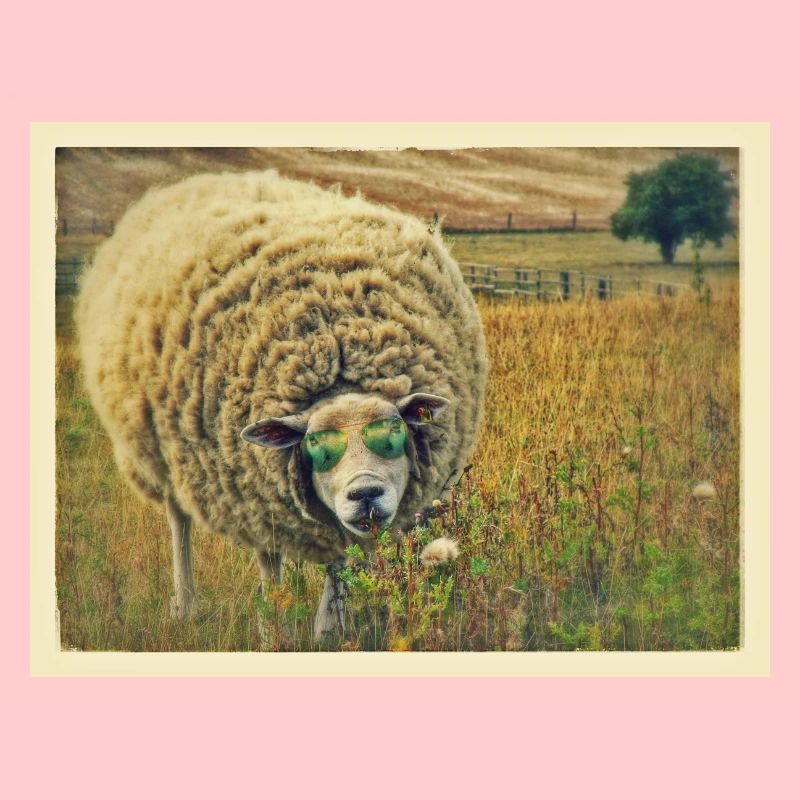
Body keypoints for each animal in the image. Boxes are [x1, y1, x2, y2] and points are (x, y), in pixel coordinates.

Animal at [76, 170, 488, 641]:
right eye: (316, 446)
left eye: (394, 435)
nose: (365, 493)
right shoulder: (254, 497)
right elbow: (269, 566)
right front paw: (272, 630)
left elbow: (340, 561)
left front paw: (329, 631)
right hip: (163, 454)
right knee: (178, 519)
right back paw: (185, 605)